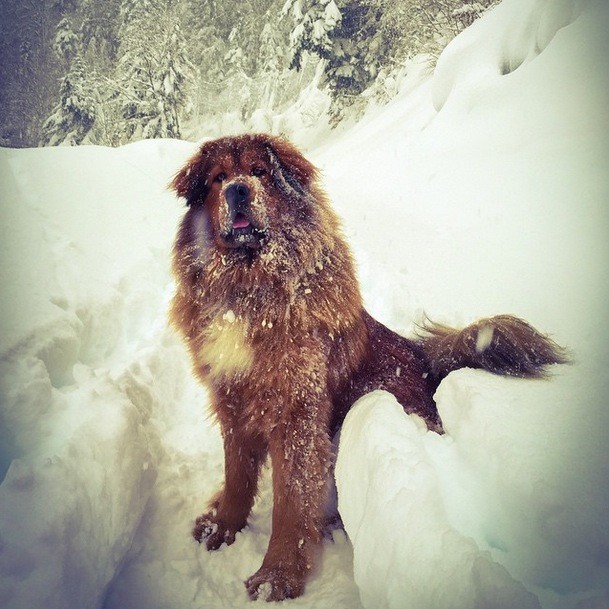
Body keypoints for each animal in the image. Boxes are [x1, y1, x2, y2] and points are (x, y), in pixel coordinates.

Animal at [169, 132, 568, 600]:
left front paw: (276, 575)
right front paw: (223, 526)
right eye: (218, 178)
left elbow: (291, 502)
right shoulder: (231, 396)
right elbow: (237, 475)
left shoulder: (297, 413)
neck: (248, 289)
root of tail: (426, 365)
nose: (237, 190)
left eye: (260, 171)